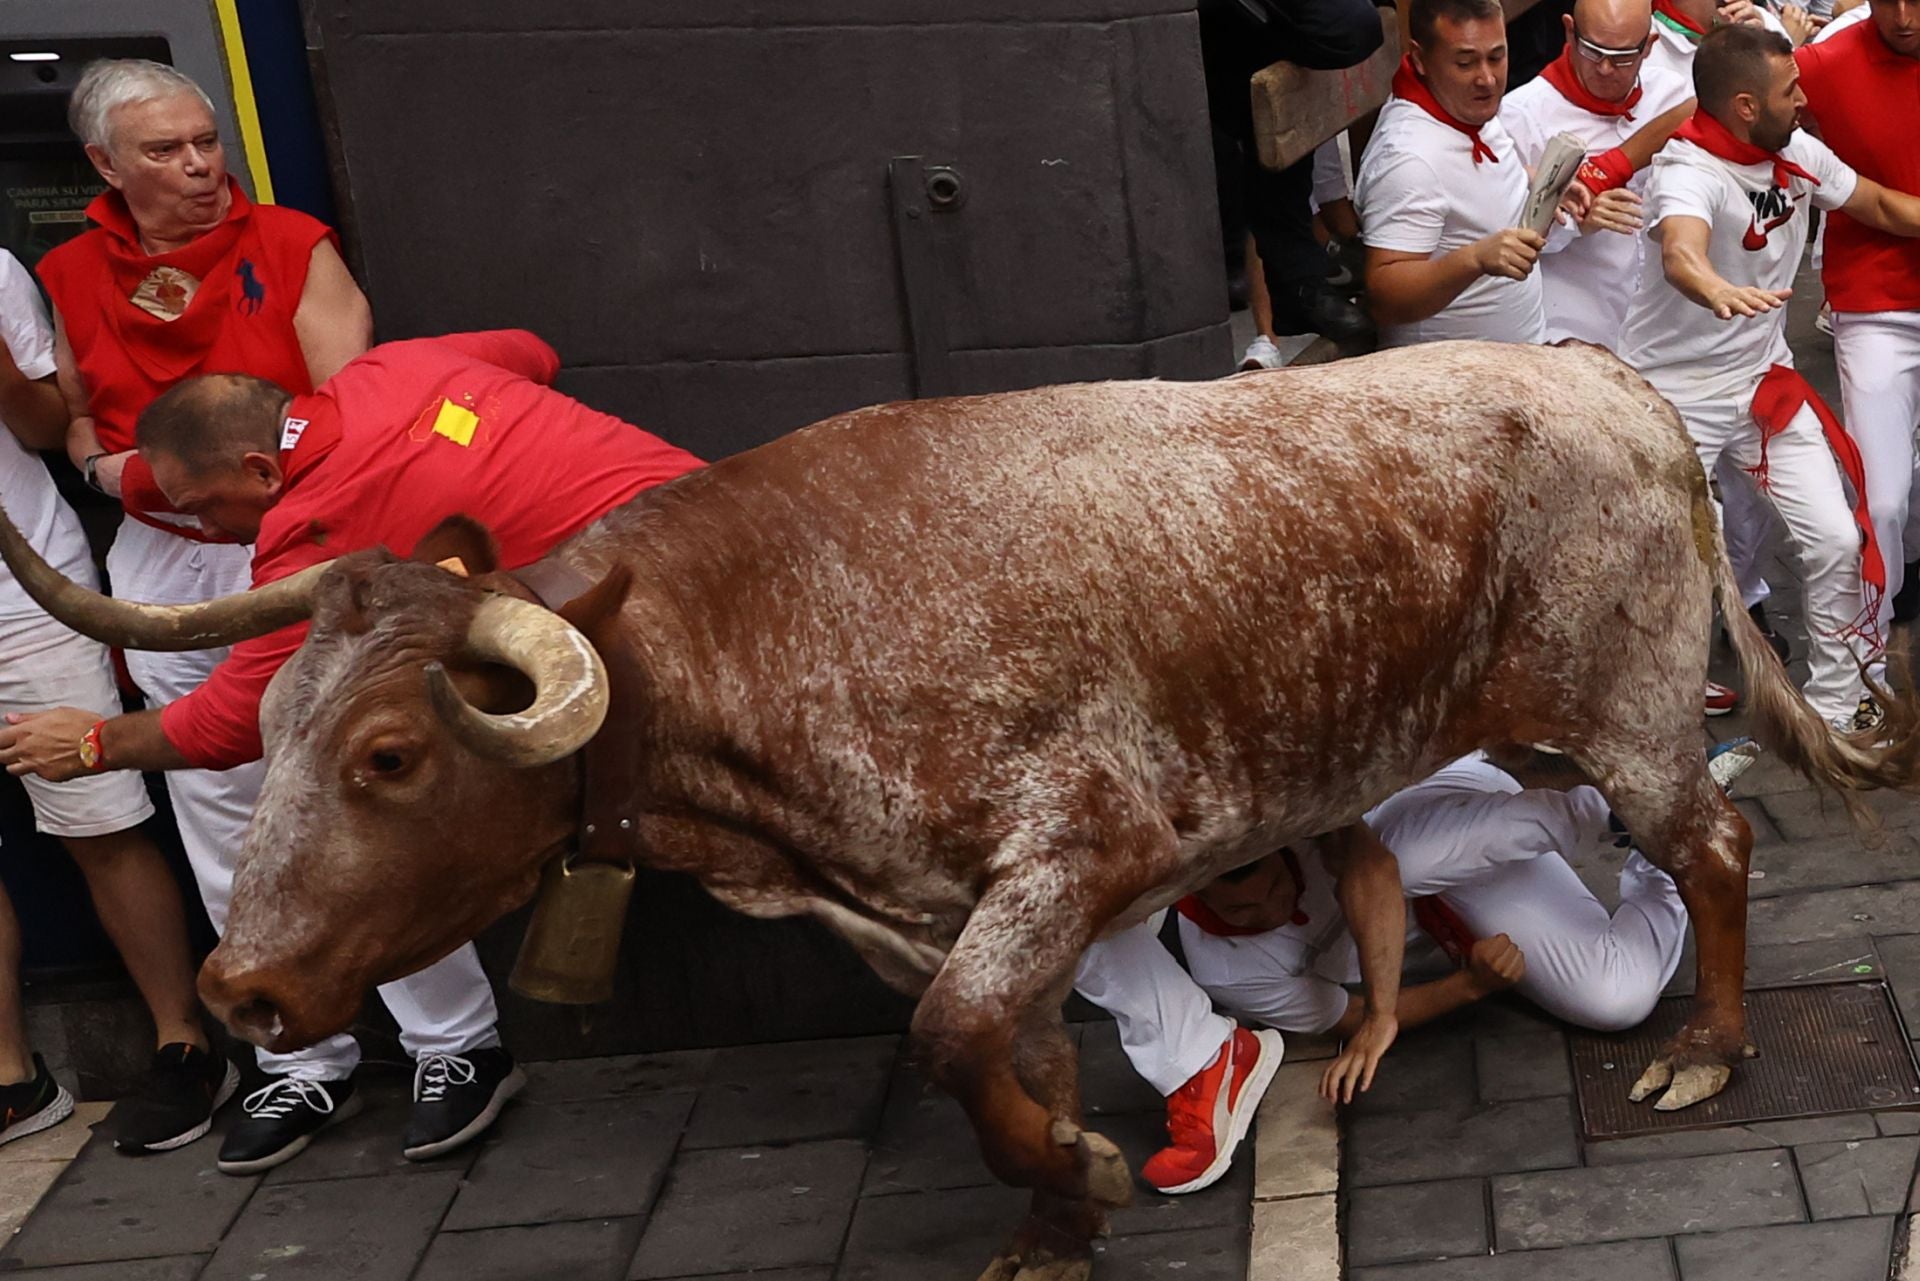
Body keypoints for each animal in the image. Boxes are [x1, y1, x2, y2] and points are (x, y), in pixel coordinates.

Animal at [7, 343, 1912, 1281]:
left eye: (392, 757)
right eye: (282, 723)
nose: (244, 992)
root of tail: (1609, 378)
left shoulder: (1080, 846)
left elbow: (953, 1043)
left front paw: (1080, 1178)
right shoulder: (927, 905)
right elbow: (1011, 1050)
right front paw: (1059, 1211)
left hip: (1633, 711)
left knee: (1715, 847)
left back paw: (1711, 1049)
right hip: (1533, 734)